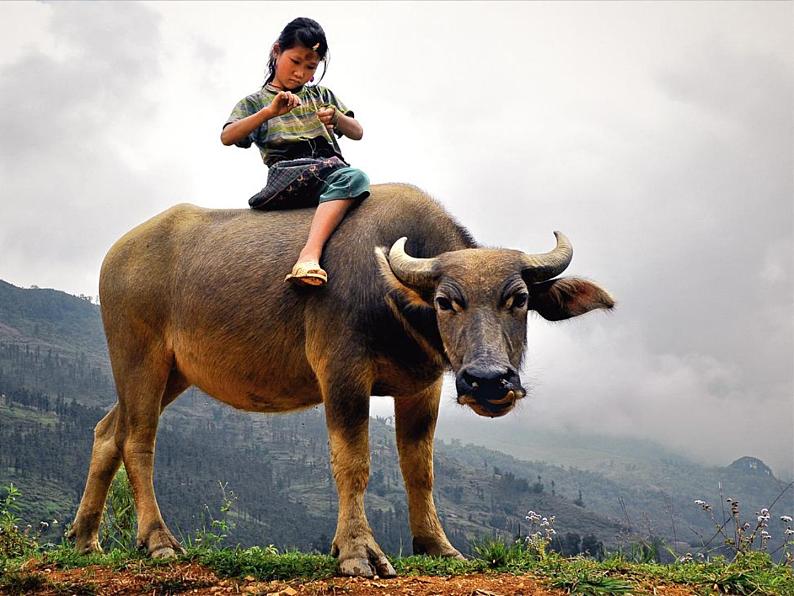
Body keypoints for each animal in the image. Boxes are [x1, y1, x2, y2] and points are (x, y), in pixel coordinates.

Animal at [68, 183, 612, 576]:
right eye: (446, 301)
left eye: (518, 299)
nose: (488, 381)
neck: (395, 302)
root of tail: (116, 255)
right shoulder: (342, 374)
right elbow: (353, 463)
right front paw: (356, 552)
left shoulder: (424, 386)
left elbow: (420, 468)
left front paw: (438, 546)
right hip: (138, 355)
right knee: (138, 439)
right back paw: (158, 541)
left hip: (174, 372)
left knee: (108, 432)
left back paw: (84, 540)